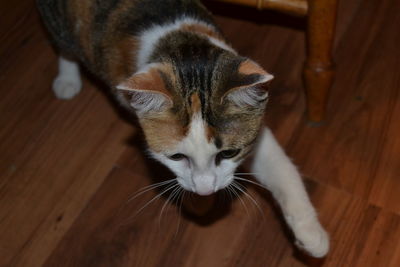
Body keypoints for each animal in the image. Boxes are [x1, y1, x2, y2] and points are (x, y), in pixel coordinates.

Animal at [37, 0, 328, 260]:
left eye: (228, 153)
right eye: (176, 157)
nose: (206, 190)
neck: (183, 45)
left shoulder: (255, 128)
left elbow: (281, 168)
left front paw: (312, 235)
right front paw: (200, 203)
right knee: (63, 44)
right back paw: (67, 79)